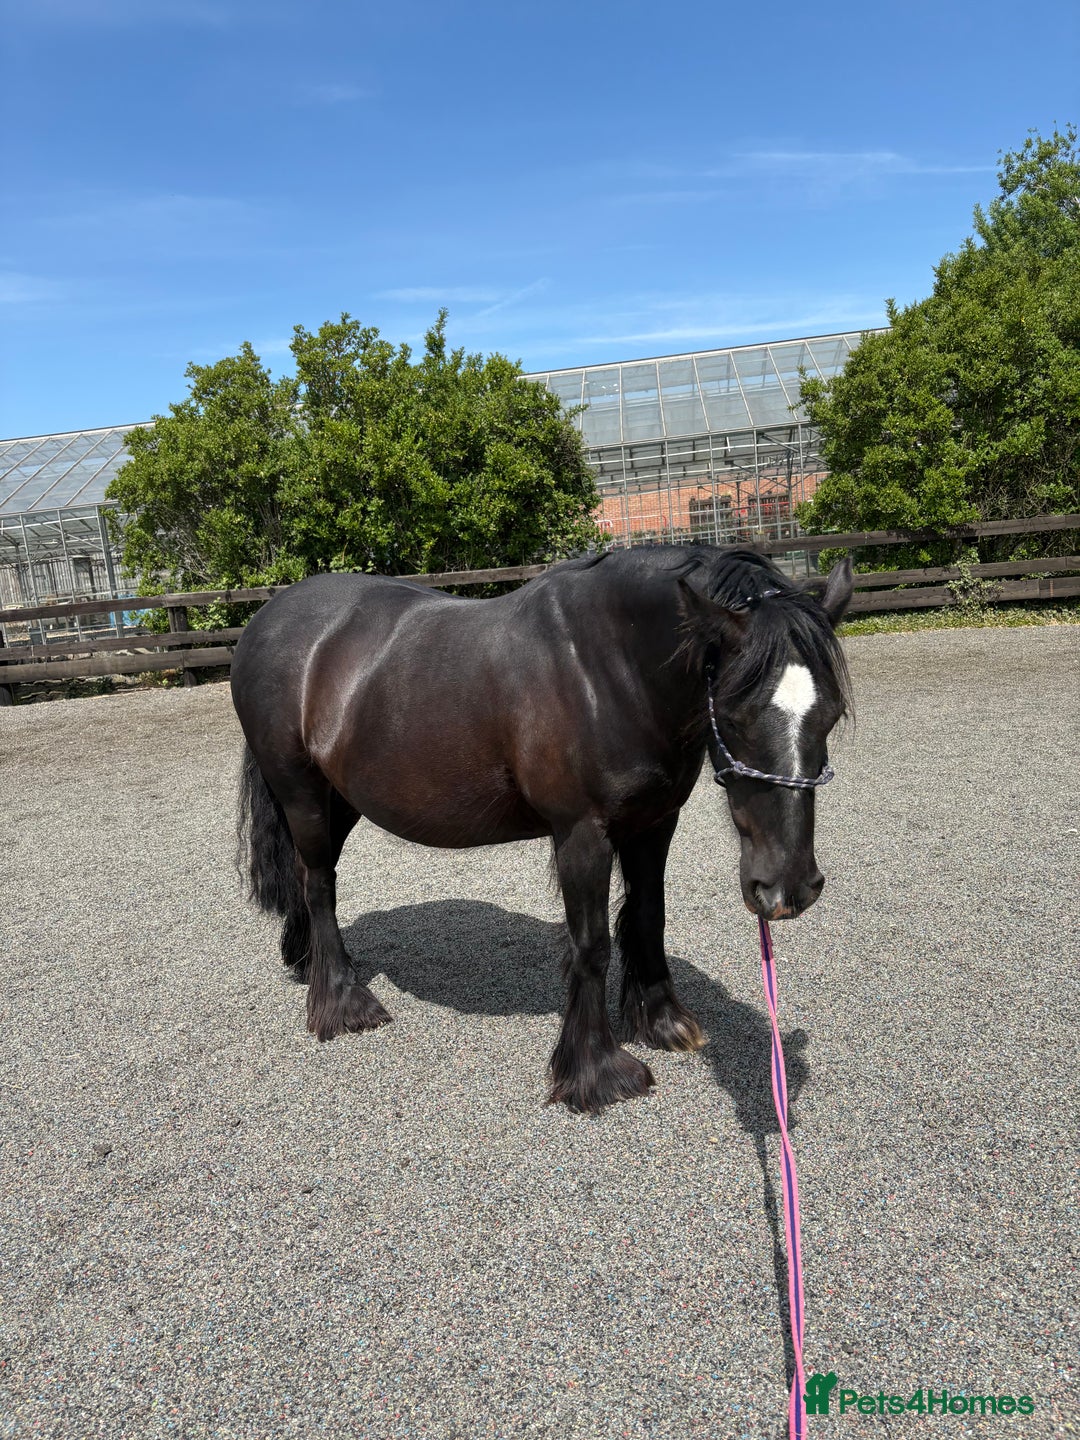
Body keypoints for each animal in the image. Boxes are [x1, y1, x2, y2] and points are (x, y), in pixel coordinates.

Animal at [231, 545, 853, 1113]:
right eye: (736, 713)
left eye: (829, 715)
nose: (789, 888)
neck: (609, 667)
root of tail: (269, 616)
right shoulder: (581, 833)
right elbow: (592, 945)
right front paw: (597, 1073)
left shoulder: (654, 823)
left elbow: (648, 917)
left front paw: (661, 1021)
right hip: (302, 792)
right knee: (318, 884)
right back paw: (342, 1003)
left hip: (340, 798)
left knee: (309, 876)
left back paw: (306, 961)